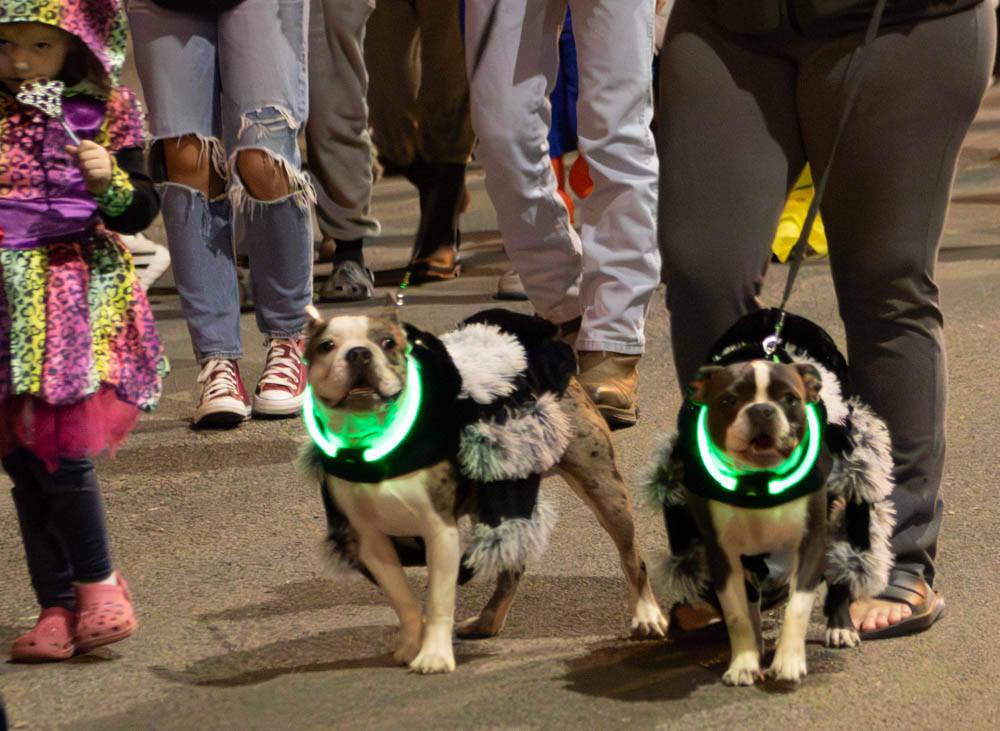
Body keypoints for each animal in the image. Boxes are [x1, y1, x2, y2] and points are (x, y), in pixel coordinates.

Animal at [300, 308, 668, 676]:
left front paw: (434, 656)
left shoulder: (440, 532)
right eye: (326, 346)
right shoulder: (372, 542)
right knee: (511, 565)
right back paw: (487, 621)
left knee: (632, 558)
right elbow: (403, 599)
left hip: (603, 489)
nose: (359, 353)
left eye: (389, 343)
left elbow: (438, 600)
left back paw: (647, 615)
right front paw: (411, 644)